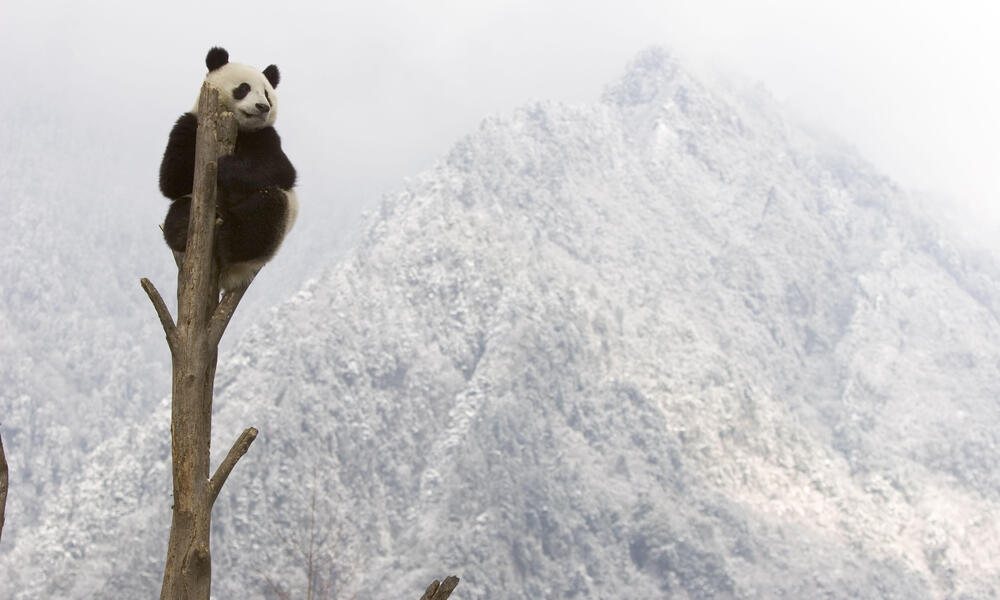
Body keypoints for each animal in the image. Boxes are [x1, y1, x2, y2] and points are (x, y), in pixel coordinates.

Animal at [159, 46, 296, 290]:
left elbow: (280, 170)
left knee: (265, 213)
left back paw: (230, 238)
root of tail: (231, 276)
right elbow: (171, 178)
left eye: (267, 94)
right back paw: (183, 228)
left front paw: (225, 167)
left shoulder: (266, 136)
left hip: (276, 227)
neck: (239, 128)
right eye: (244, 88)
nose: (263, 107)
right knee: (179, 210)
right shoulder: (189, 123)